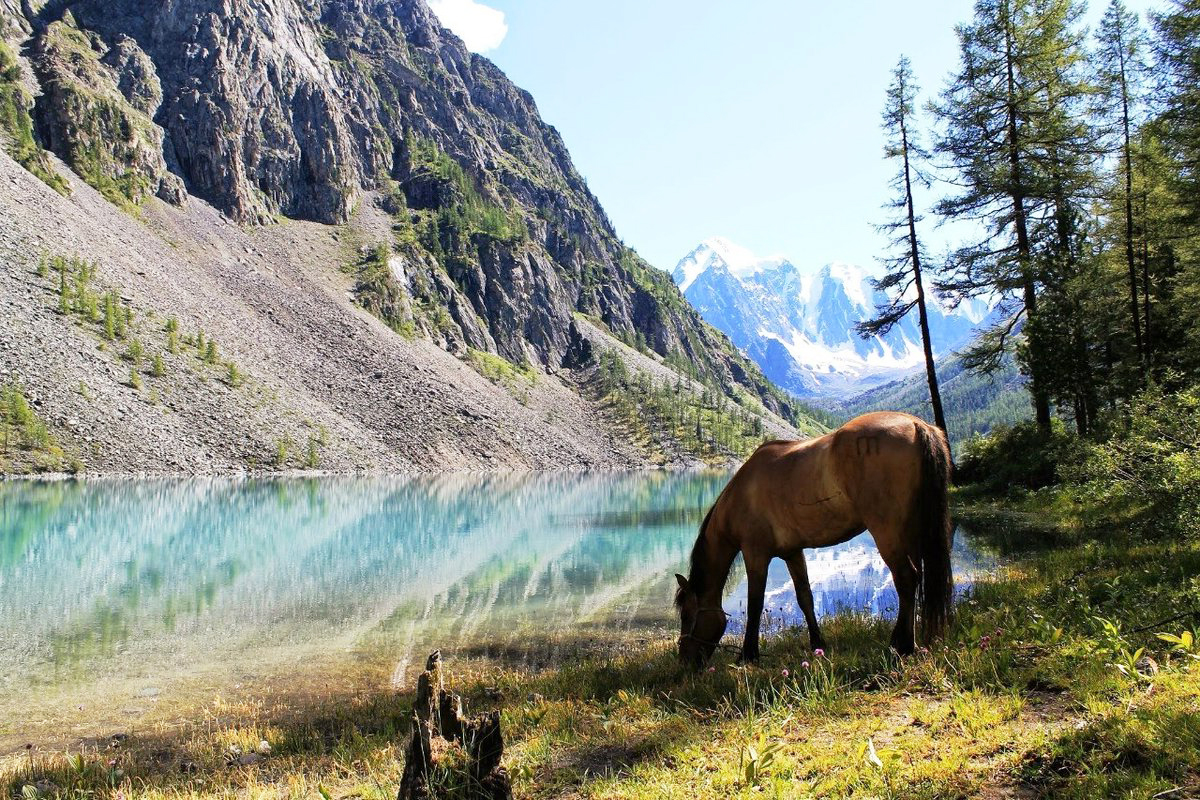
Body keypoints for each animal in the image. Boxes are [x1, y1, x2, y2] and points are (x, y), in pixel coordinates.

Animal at [681, 410, 950, 666]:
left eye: (686, 615)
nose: (686, 661)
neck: (740, 496)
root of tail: (916, 424)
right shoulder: (792, 553)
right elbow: (805, 598)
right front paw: (817, 643)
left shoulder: (755, 554)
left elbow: (755, 604)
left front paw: (749, 654)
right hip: (911, 532)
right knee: (915, 579)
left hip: (887, 532)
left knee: (906, 578)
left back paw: (901, 646)